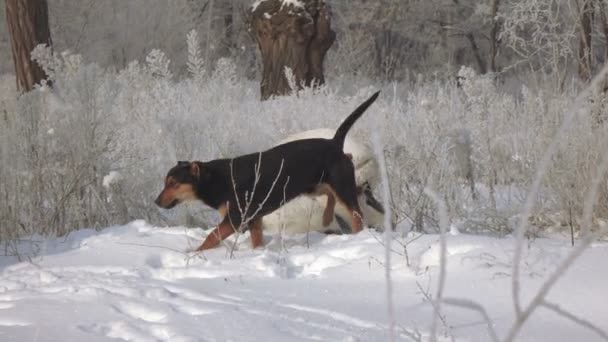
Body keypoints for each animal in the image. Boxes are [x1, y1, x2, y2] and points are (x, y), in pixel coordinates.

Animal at [154, 91, 378, 251]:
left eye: (173, 183)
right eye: (165, 182)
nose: (156, 202)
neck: (215, 179)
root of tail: (335, 143)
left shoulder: (235, 219)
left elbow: (211, 236)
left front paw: (194, 254)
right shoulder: (254, 220)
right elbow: (256, 242)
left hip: (342, 186)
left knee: (356, 214)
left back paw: (358, 235)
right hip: (316, 186)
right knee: (331, 195)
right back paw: (326, 215)